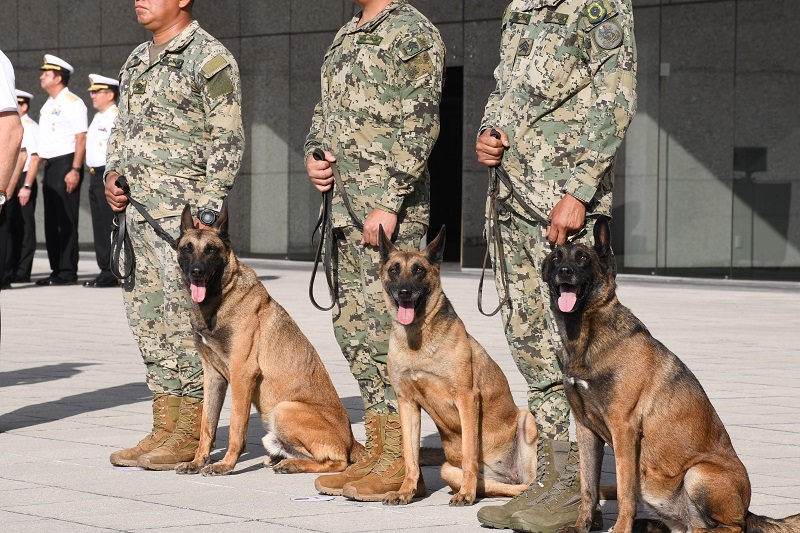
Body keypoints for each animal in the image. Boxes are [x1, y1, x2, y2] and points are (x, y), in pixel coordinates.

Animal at [176, 204, 366, 474]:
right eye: (187, 248)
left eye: (211, 250)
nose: (196, 272)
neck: (220, 298)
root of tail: (351, 440)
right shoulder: (213, 376)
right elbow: (207, 425)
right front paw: (198, 460)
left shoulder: (242, 374)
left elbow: (236, 427)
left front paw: (226, 464)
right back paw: (280, 458)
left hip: (285, 409)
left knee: (337, 461)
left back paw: (291, 464)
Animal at [380, 225, 540, 508]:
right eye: (394, 270)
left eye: (418, 270)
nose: (404, 292)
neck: (418, 340)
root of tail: (506, 474)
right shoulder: (407, 403)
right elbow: (410, 457)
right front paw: (406, 491)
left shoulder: (467, 399)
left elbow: (468, 453)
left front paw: (466, 493)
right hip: (448, 469)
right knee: (500, 488)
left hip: (526, 420)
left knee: (527, 484)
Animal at [540, 216, 796, 532]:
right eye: (556, 258)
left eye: (583, 259)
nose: (565, 272)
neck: (586, 335)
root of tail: (748, 511)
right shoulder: (586, 429)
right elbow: (588, 486)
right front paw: (582, 526)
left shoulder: (624, 429)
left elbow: (625, 492)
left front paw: (620, 528)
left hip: (698, 473)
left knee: (734, 526)